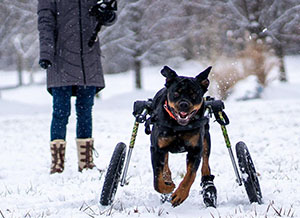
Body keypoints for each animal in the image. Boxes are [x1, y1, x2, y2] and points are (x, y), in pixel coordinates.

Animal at [149, 65, 216, 208]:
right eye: (176, 93)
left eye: (194, 94)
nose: (184, 104)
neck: (179, 126)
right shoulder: (157, 148)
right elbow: (157, 177)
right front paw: (167, 187)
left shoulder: (195, 149)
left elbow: (191, 174)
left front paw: (180, 194)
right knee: (165, 163)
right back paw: (168, 179)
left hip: (206, 137)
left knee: (206, 163)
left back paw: (208, 184)